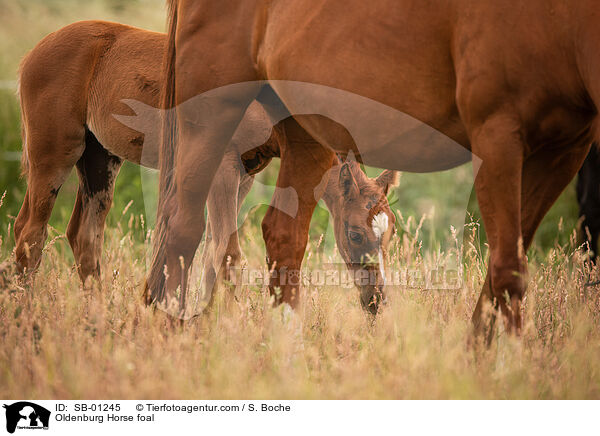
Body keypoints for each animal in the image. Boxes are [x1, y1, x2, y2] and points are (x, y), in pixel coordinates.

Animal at [148, 0, 600, 338]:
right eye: (354, 234)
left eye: (392, 234)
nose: (378, 301)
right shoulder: (497, 137)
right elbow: (507, 271)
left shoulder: (564, 149)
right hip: (211, 114)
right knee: (184, 224)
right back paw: (170, 327)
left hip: (304, 128)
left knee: (282, 234)